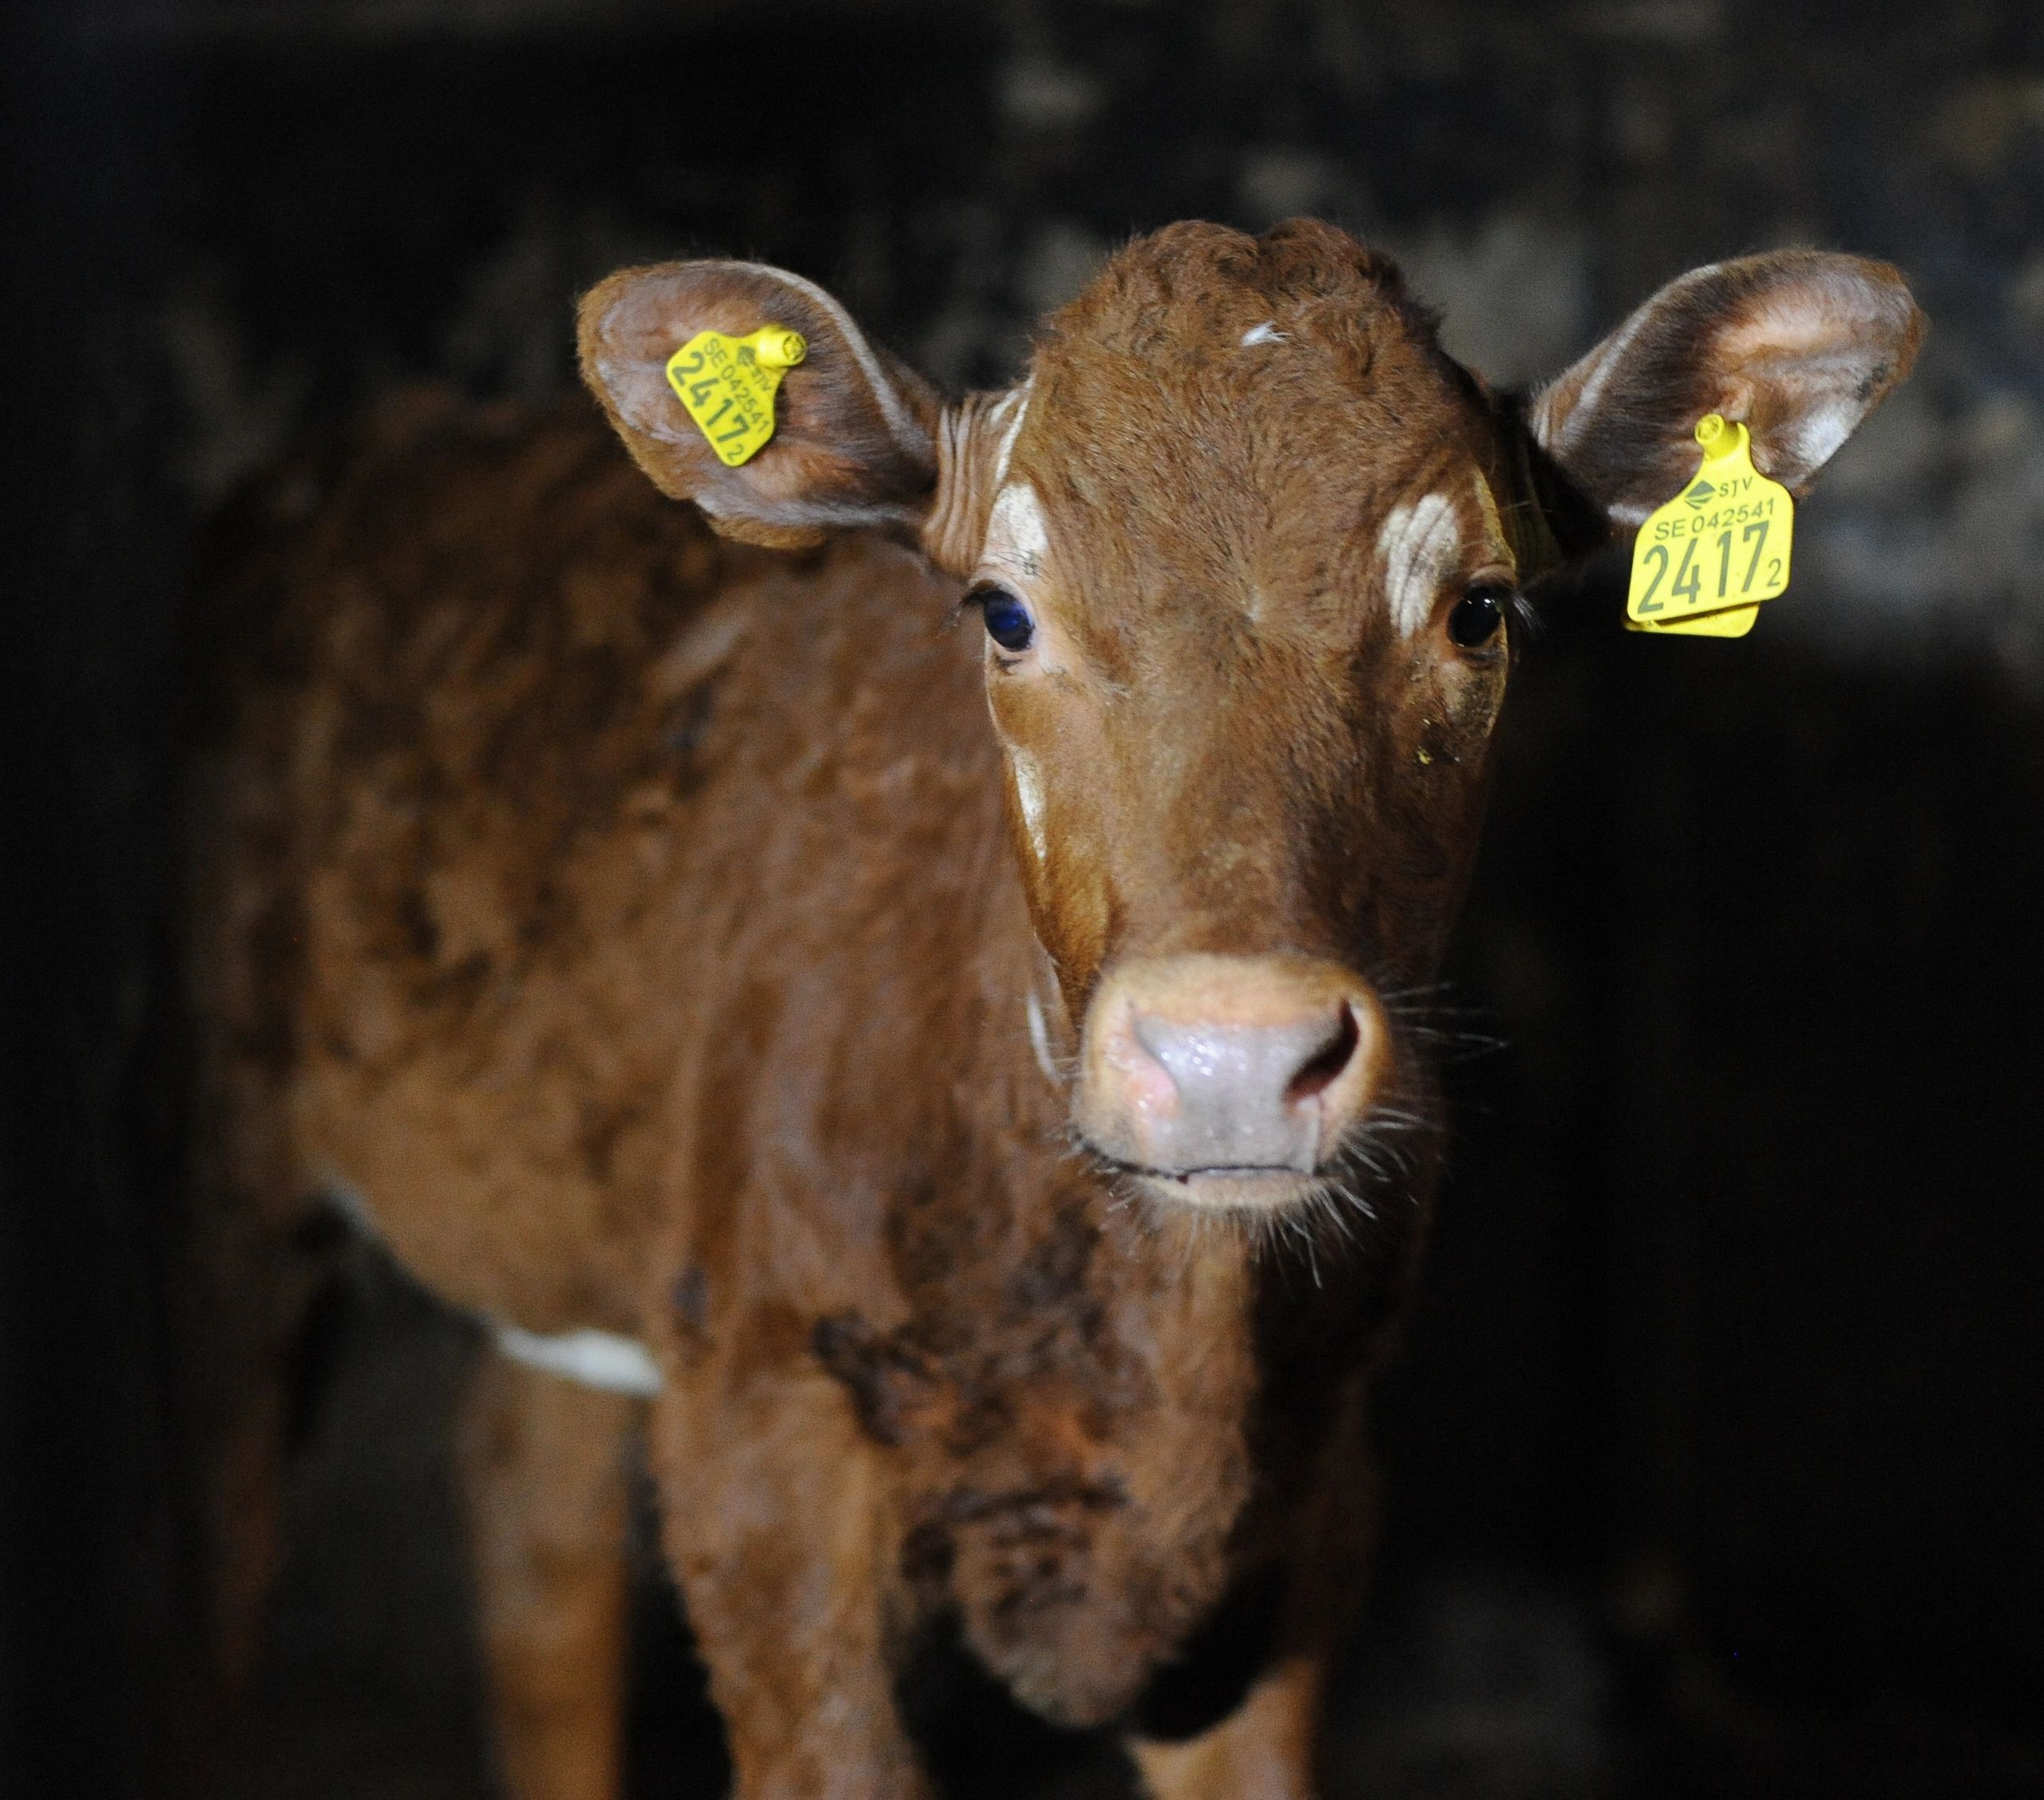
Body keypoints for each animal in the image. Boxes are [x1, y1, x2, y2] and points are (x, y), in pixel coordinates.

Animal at [182, 219, 1922, 1799]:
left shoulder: (1313, 1499)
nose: (1231, 1057)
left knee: (529, 1514)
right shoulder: (764, 1444)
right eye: (1003, 612)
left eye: (1478, 607)